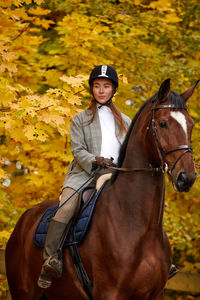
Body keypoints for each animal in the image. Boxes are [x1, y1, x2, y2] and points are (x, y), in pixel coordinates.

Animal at [5, 78, 198, 298]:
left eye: (191, 125)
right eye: (163, 123)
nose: (187, 177)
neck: (139, 225)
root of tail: (23, 221)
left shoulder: (156, 294)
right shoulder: (109, 292)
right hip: (23, 292)